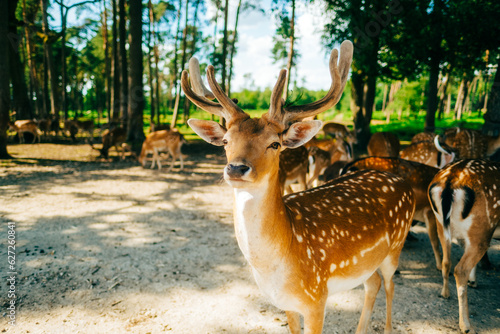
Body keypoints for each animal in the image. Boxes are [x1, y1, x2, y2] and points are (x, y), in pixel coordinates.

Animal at [182, 41, 416, 334]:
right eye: (225, 141)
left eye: (275, 144)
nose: (236, 168)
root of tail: (403, 182)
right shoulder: (286, 304)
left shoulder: (317, 297)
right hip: (367, 263)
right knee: (372, 283)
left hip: (395, 247)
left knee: (390, 285)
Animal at [426, 159, 500, 334]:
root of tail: (450, 180)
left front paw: (474, 281)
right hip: (482, 229)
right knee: (460, 269)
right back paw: (466, 325)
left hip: (441, 223)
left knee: (447, 261)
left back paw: (445, 293)